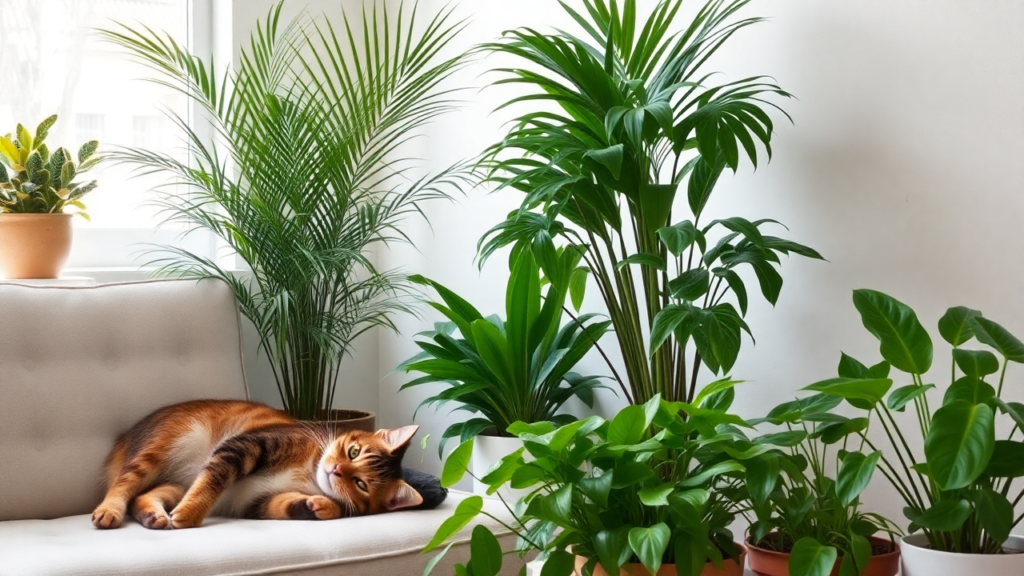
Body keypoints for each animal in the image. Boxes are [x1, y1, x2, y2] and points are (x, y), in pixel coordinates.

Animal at [91, 399, 436, 528]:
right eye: (353, 452)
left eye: (361, 483)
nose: (335, 469)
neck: (308, 474)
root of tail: (126, 434)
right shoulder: (246, 446)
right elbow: (212, 481)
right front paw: (189, 515)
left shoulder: (252, 501)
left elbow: (282, 505)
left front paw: (322, 506)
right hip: (160, 449)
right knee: (123, 485)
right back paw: (109, 512)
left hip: (175, 484)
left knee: (144, 496)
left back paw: (153, 515)